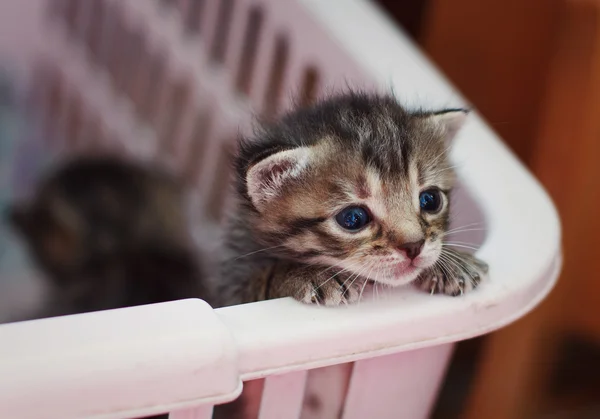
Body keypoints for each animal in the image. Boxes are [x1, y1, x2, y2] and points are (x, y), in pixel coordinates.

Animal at [218, 92, 490, 308]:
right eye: (353, 218)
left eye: (430, 200)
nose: (414, 246)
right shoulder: (232, 285)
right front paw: (309, 273)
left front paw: (452, 262)